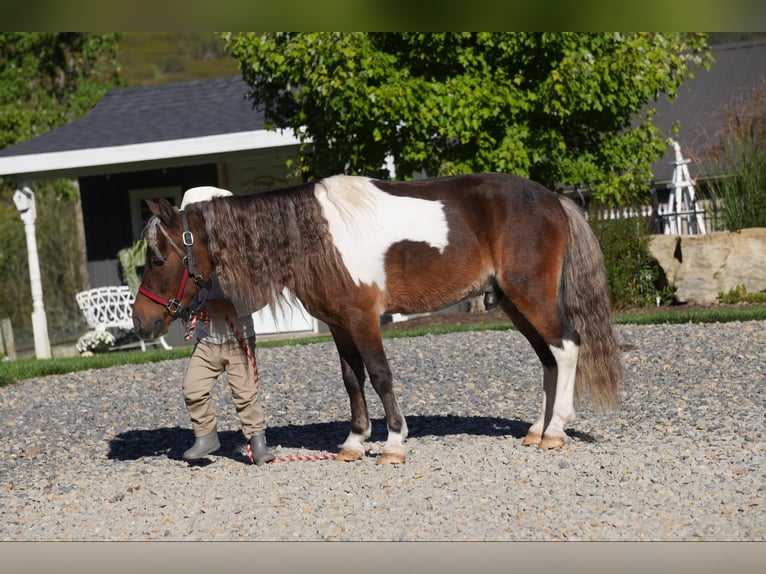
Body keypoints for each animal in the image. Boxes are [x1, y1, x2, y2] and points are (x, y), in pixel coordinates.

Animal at [132, 173, 624, 466]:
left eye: (157, 258)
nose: (141, 321)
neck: (315, 234)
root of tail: (552, 198)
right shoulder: (338, 324)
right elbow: (353, 379)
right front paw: (354, 442)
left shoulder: (364, 318)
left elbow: (380, 374)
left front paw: (392, 443)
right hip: (512, 302)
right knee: (548, 358)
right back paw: (538, 431)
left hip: (530, 295)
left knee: (567, 346)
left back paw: (556, 431)